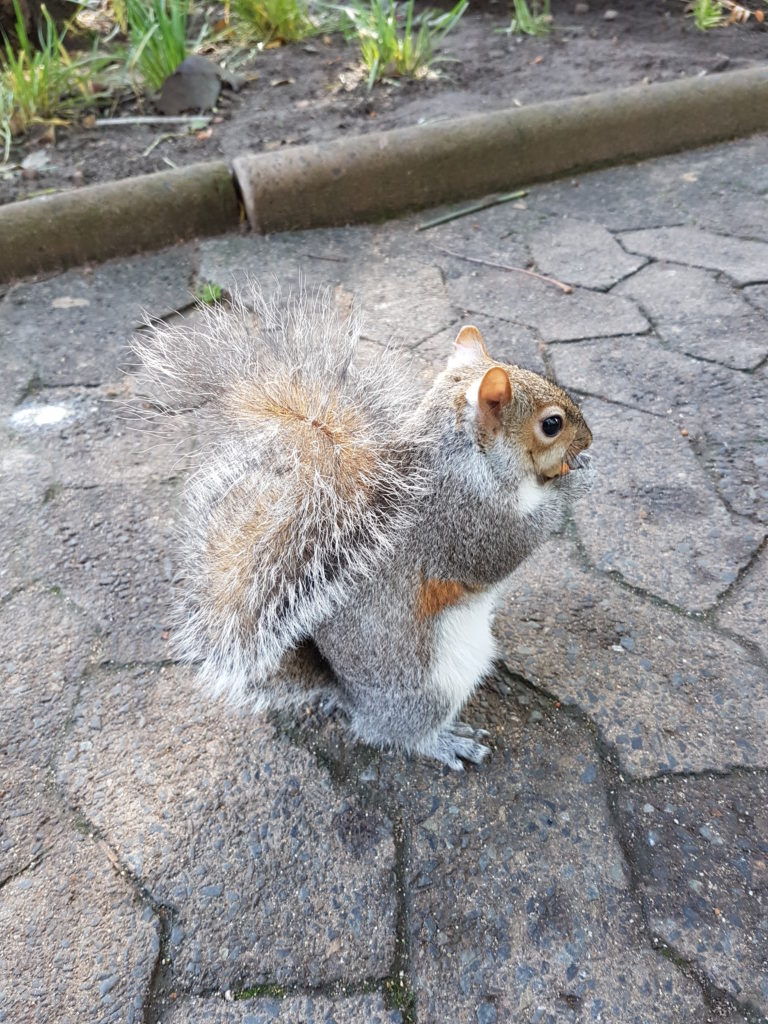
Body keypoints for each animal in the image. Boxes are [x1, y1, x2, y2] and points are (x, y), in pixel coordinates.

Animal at [135, 283, 594, 769]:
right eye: (551, 424)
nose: (590, 439)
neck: (463, 456)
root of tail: (352, 698)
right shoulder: (459, 518)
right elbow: (500, 551)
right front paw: (577, 482)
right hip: (425, 692)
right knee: (399, 734)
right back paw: (444, 741)